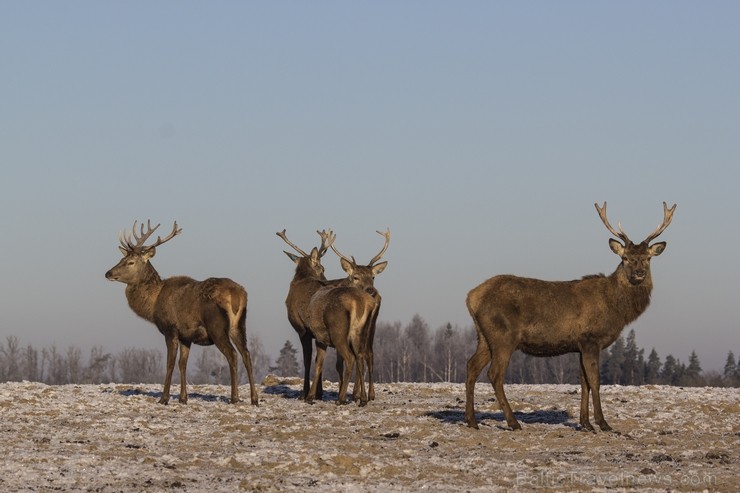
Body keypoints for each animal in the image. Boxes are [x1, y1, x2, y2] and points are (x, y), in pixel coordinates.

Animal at [105, 219, 258, 404]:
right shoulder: (186, 336)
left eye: (131, 262)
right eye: (122, 258)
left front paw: (164, 398)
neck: (153, 304)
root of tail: (238, 295)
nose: (108, 273)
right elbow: (182, 364)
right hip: (239, 324)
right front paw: (183, 398)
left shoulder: (170, 329)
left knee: (232, 354)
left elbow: (170, 363)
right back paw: (254, 399)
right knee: (246, 354)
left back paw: (234, 397)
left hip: (217, 326)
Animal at [468, 201, 676, 430]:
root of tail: (471, 297)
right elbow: (595, 381)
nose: (639, 273)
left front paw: (585, 423)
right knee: (494, 374)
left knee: (471, 367)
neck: (616, 309)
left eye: (647, 258)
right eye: (625, 258)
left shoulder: (580, 345)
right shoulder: (591, 339)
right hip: (503, 336)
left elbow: (584, 382)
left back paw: (471, 421)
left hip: (484, 337)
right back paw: (513, 422)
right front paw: (603, 423)